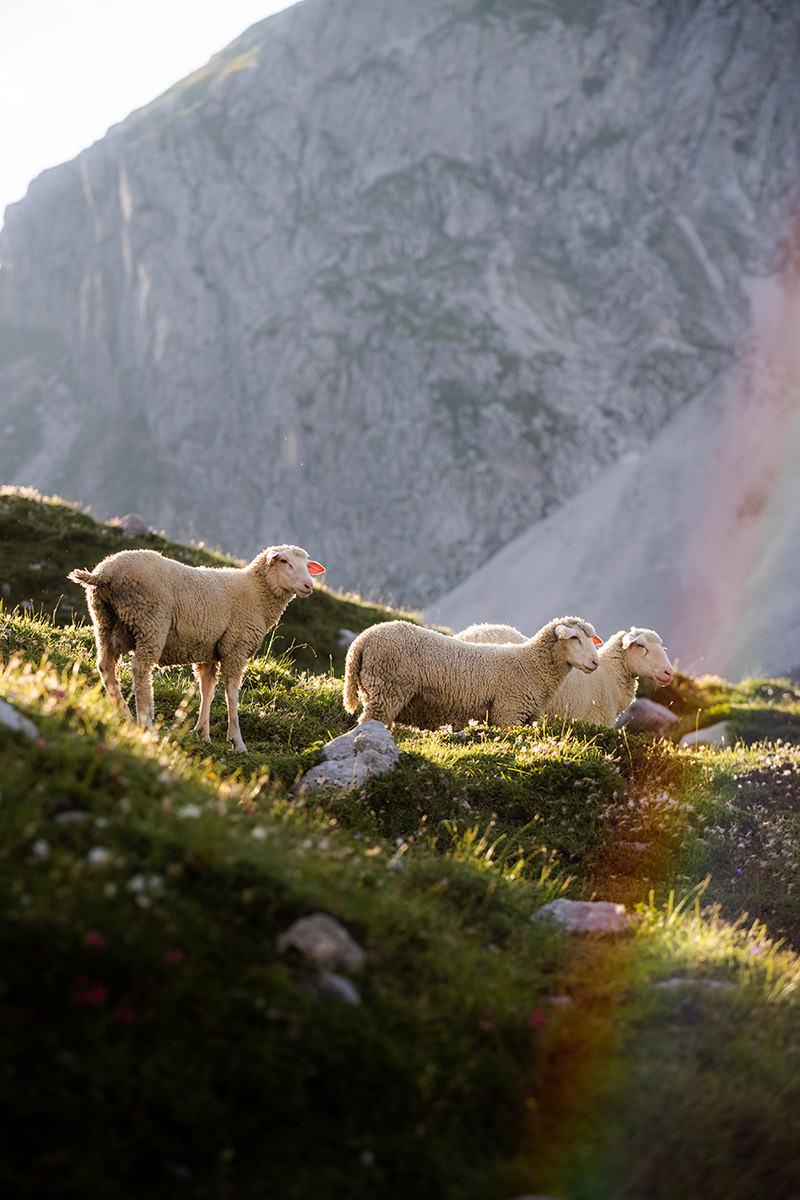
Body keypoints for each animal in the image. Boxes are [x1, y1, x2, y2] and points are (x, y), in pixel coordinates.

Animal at [68, 544, 325, 753]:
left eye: (306, 565)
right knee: (140, 671)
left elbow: (207, 691)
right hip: (150, 621)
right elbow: (232, 694)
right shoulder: (236, 648)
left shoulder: (209, 651)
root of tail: (104, 574)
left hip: (105, 621)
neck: (257, 594)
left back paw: (126, 716)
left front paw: (202, 733)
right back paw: (146, 724)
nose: (308, 585)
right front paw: (237, 741)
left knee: (105, 667)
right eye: (284, 561)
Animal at [342, 615, 601, 731]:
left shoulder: (530, 716)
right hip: (387, 689)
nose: (595, 662)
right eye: (575, 638)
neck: (531, 665)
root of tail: (364, 637)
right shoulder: (508, 712)